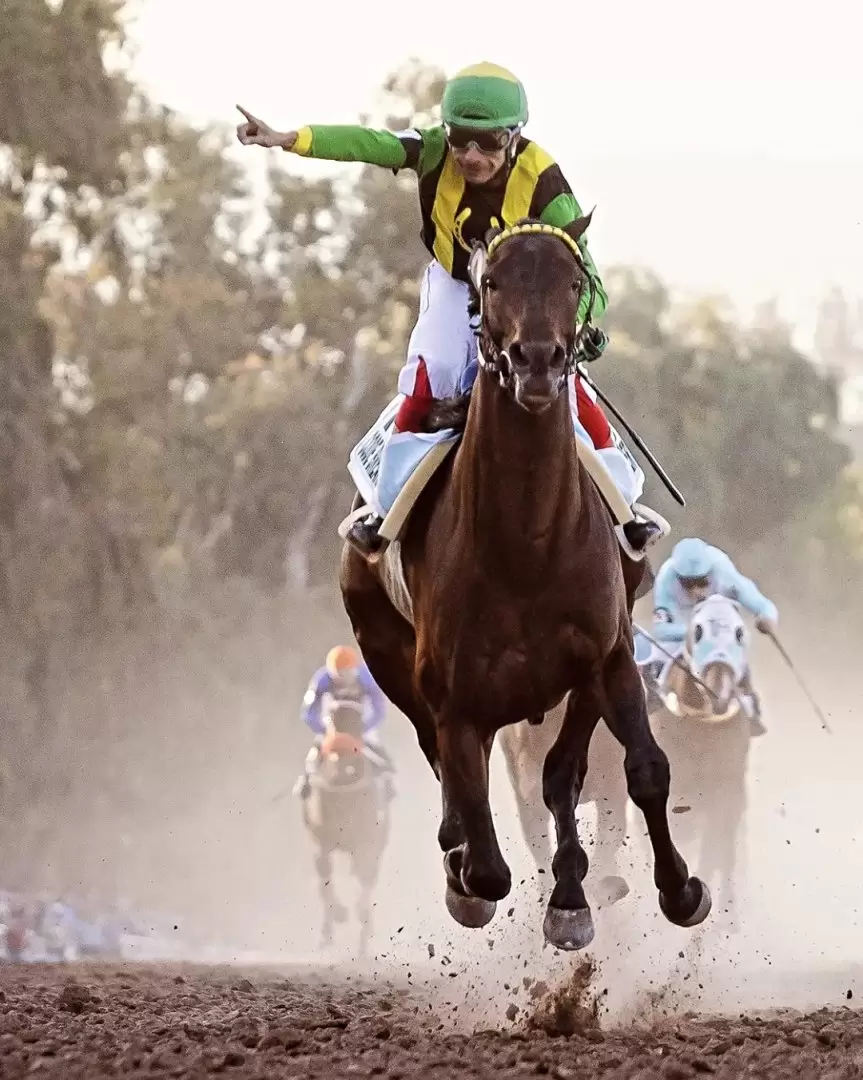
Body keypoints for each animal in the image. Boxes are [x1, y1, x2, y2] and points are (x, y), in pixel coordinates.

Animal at [336, 219, 708, 954]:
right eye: (492, 282)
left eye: (573, 279)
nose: (536, 360)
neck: (526, 545)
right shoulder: (455, 702)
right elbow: (485, 863)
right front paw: (473, 877)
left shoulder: (606, 656)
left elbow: (638, 771)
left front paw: (674, 890)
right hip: (384, 653)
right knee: (447, 774)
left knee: (557, 778)